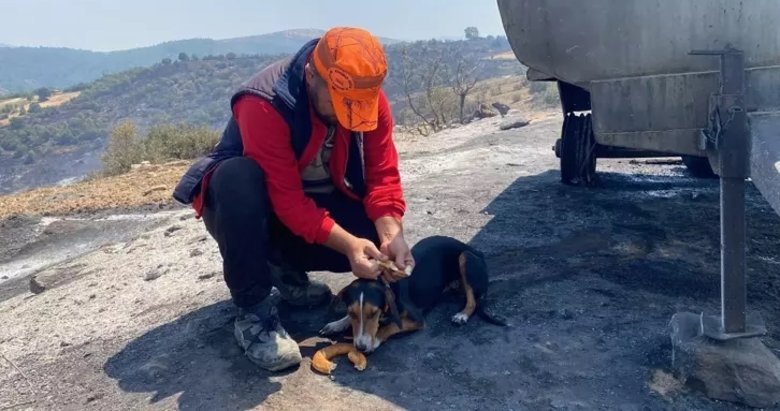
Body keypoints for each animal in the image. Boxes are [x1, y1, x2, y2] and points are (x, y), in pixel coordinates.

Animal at [320, 237, 508, 352]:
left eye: (374, 314)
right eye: (351, 313)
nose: (360, 347)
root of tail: (476, 251)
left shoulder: (416, 319)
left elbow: (391, 325)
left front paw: (374, 341)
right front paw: (337, 324)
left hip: (465, 257)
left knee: (473, 301)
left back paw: (462, 315)